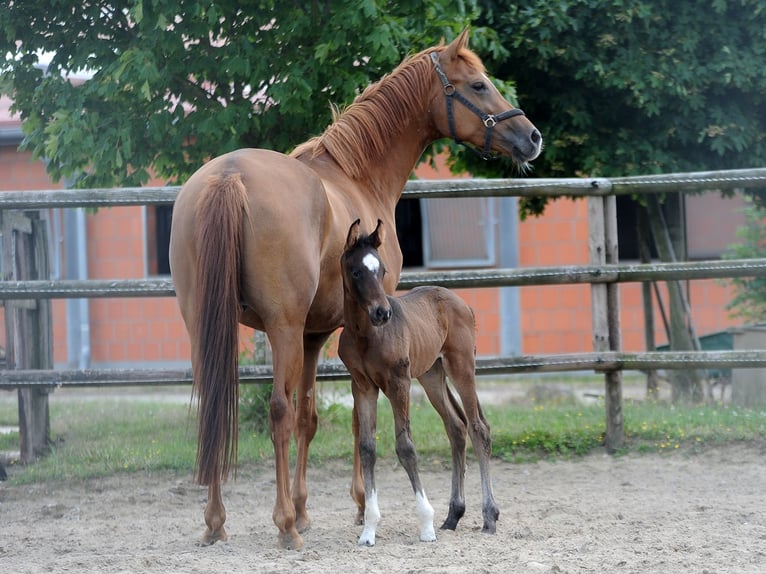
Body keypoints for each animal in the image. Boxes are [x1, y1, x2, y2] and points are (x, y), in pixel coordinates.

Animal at [340, 220, 498, 548]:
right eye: (357, 271)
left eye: (382, 270)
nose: (382, 313)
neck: (366, 336)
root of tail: (464, 304)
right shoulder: (362, 386)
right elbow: (367, 448)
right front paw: (368, 531)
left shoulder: (398, 382)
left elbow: (406, 446)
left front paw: (425, 525)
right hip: (431, 375)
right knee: (456, 426)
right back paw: (453, 516)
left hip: (461, 366)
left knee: (478, 428)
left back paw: (489, 517)